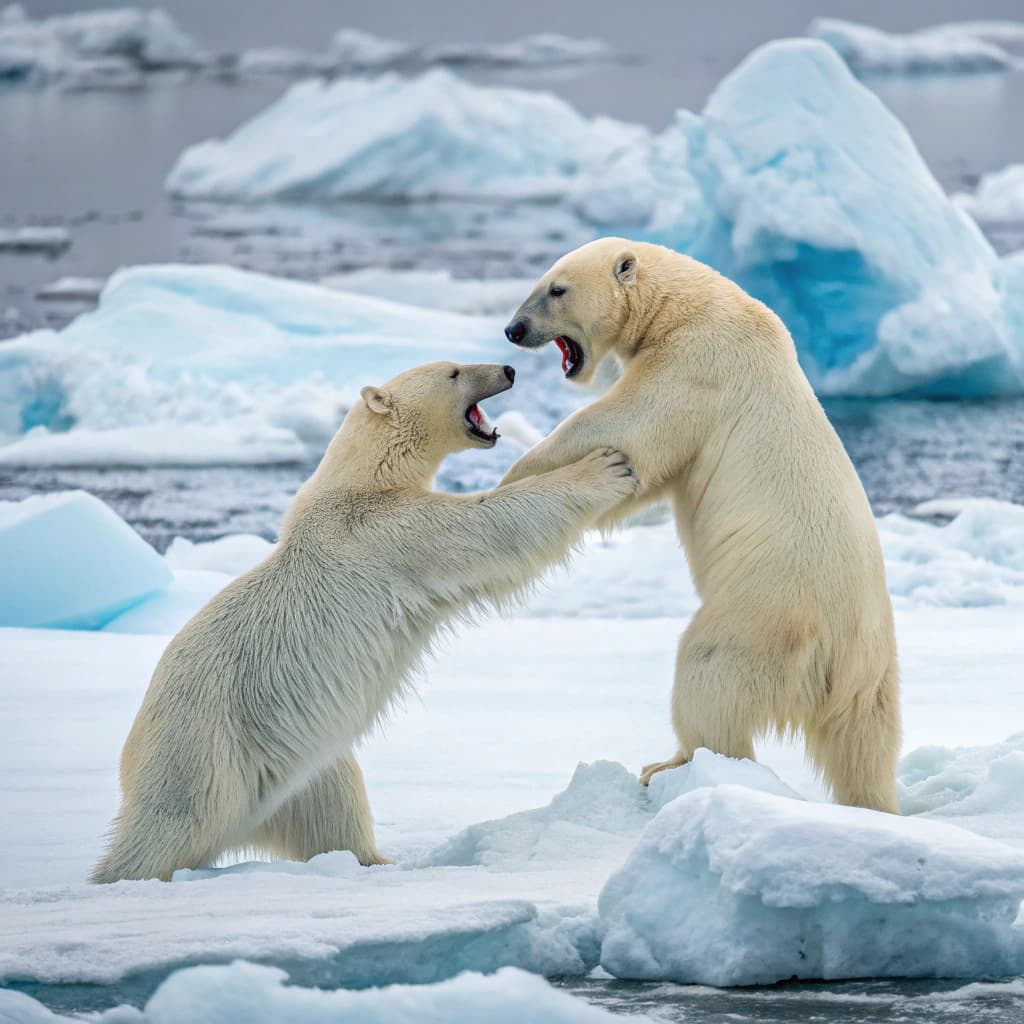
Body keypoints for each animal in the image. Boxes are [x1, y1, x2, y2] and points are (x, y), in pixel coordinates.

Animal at [91, 361, 639, 883]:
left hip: (301, 765)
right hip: (205, 743)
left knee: (334, 808)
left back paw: (376, 861)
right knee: (170, 822)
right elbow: (489, 525)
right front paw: (605, 467)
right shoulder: (386, 529)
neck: (362, 478)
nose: (507, 370)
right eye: (454, 371)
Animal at [501, 238, 901, 814]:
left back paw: (673, 763)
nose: (513, 330)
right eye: (540, 282)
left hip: (764, 614)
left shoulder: (695, 364)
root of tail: (837, 655)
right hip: (875, 673)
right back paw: (874, 803)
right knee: (866, 742)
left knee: (708, 673)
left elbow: (625, 428)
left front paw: (514, 472)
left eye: (556, 289)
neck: (682, 305)